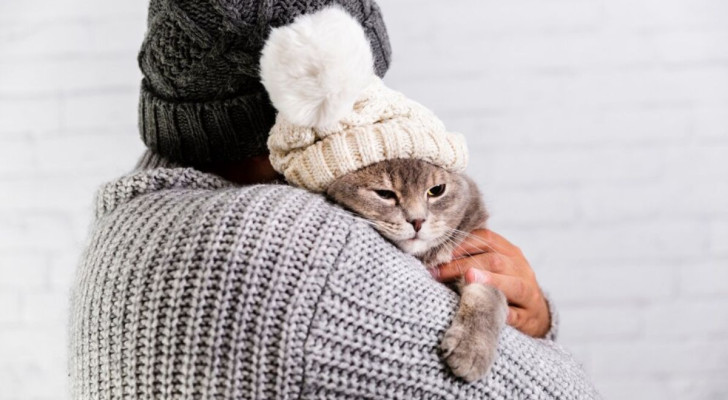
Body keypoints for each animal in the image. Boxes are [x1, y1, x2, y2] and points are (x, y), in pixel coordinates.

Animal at [328, 158, 510, 382]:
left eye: (436, 190)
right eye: (384, 193)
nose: (417, 221)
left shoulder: (477, 262)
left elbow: (489, 293)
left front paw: (472, 350)